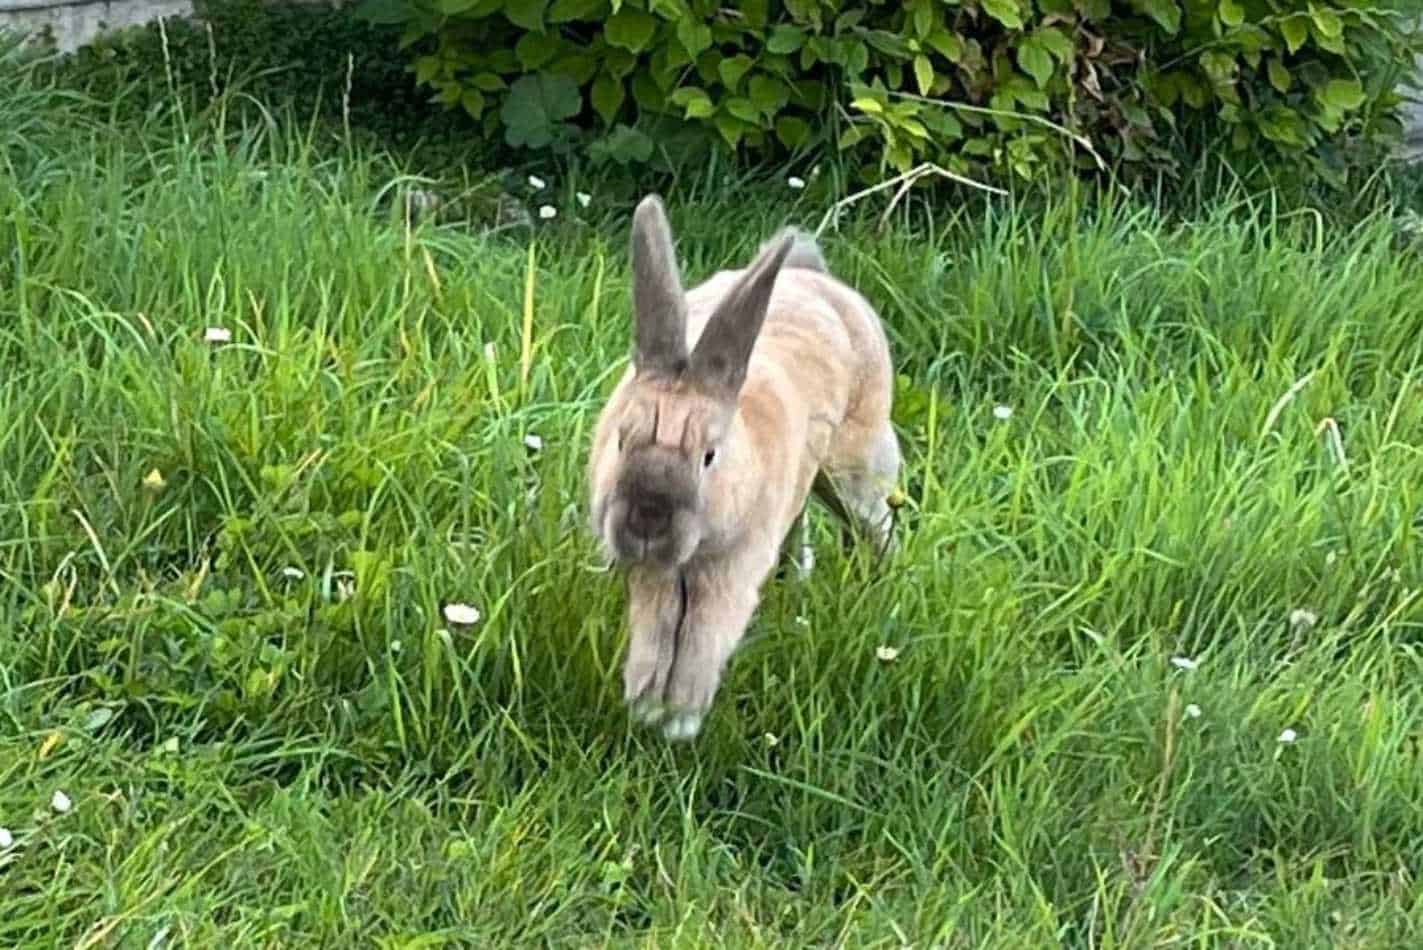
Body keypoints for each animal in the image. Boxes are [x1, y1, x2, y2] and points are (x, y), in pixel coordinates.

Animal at [586, 194, 899, 739]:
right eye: (622, 439)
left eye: (710, 456)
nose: (646, 522)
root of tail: (812, 277)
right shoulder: (655, 574)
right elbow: (657, 632)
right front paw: (646, 707)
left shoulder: (730, 573)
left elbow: (701, 640)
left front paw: (679, 721)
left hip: (858, 467)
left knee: (876, 525)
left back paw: (876, 589)